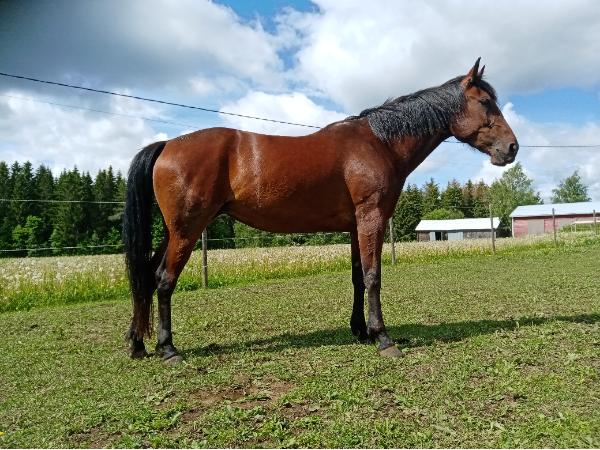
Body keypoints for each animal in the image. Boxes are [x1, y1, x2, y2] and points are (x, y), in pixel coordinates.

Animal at [123, 58, 518, 363]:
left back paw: (138, 344)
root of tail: (167, 145)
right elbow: (373, 276)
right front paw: (383, 338)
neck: (378, 143)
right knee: (164, 279)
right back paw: (168, 349)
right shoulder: (371, 219)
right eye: (485, 101)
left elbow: (358, 277)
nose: (511, 148)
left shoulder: (356, 225)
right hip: (187, 230)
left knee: (146, 275)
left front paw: (361, 331)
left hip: (175, 231)